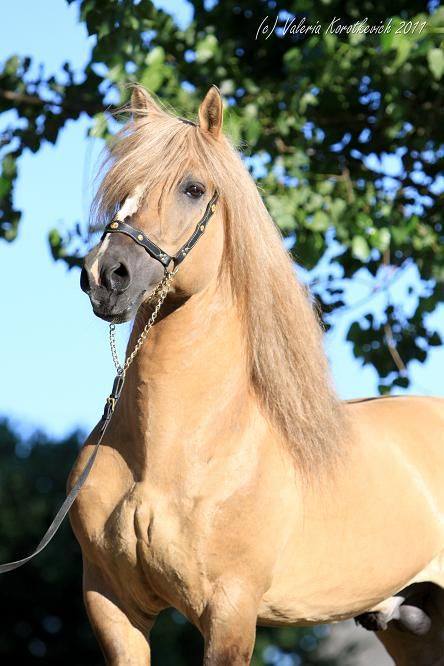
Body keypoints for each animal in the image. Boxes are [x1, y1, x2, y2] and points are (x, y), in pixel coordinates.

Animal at [71, 85, 444, 660]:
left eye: (194, 188)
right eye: (119, 189)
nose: (106, 276)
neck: (168, 455)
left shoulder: (230, 610)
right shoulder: (111, 604)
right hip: (410, 626)